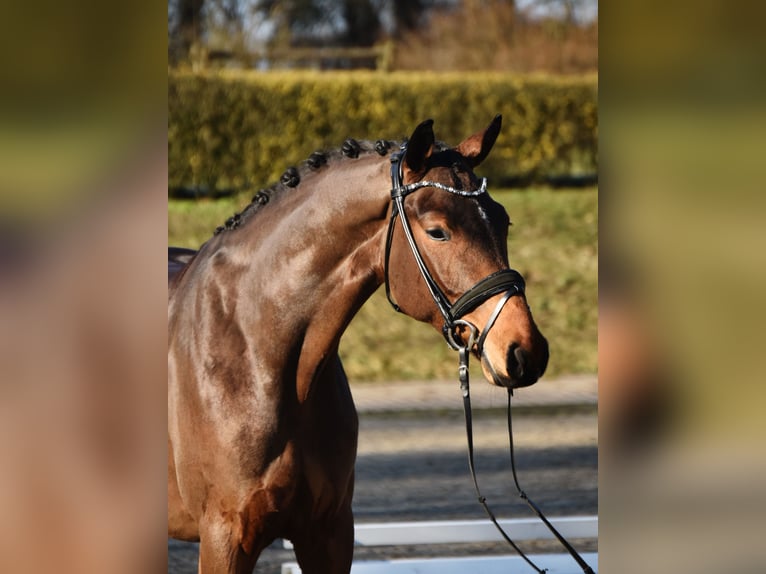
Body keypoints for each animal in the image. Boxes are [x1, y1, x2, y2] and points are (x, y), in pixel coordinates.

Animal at [167, 116, 549, 573]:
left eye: (503, 220)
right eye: (438, 231)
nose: (526, 350)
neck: (255, 348)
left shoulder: (328, 533)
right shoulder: (225, 538)